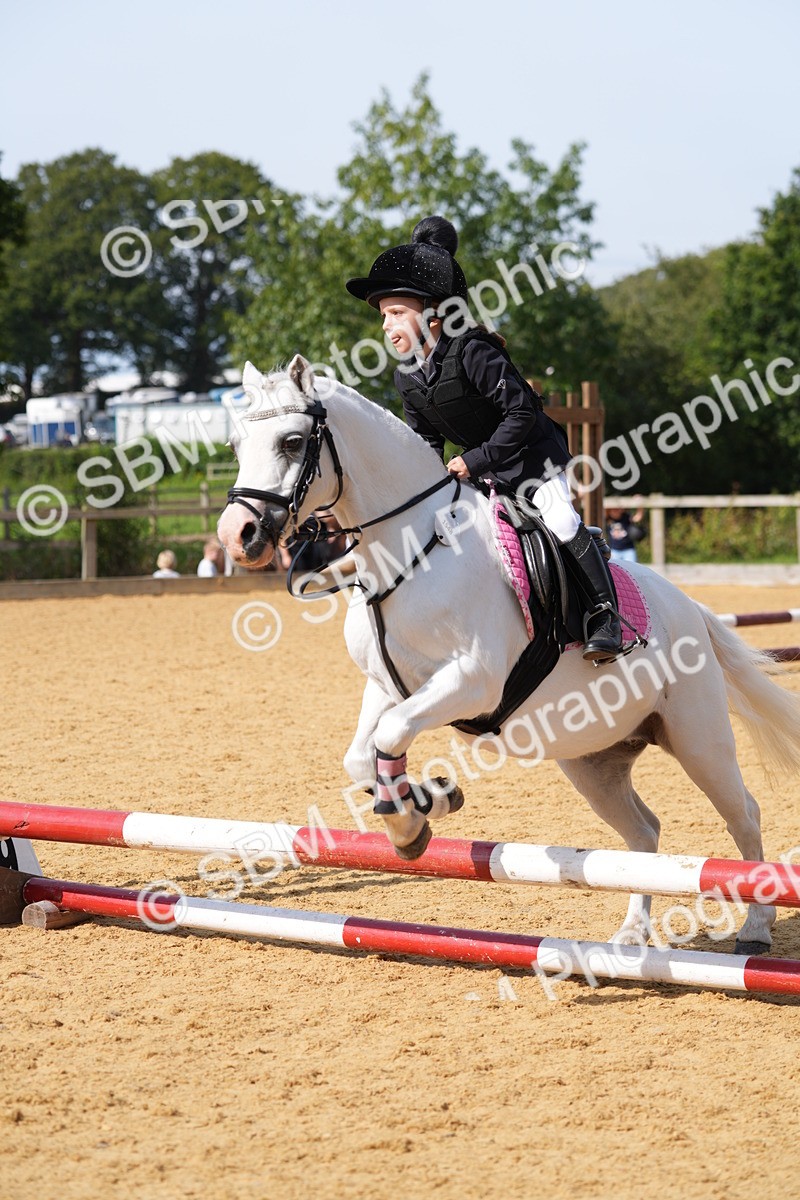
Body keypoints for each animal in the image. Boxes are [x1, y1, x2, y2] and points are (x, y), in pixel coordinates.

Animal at [217, 356, 800, 954]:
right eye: (237, 444)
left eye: (291, 442)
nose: (238, 536)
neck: (409, 550)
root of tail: (691, 609)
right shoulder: (386, 685)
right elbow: (364, 755)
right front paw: (429, 802)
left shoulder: (472, 682)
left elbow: (390, 735)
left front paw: (410, 825)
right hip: (597, 762)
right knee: (644, 833)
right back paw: (632, 932)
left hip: (698, 739)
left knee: (743, 814)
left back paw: (755, 929)